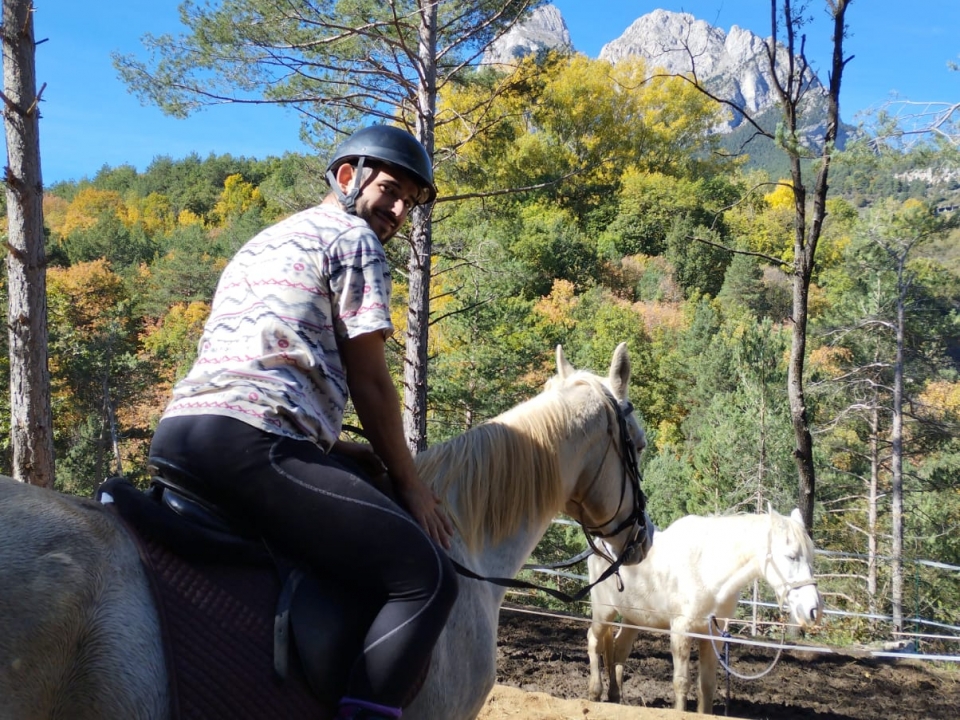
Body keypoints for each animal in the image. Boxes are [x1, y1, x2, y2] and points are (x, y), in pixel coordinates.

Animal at [586, 507, 822, 714]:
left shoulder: (713, 635)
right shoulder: (681, 630)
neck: (706, 569)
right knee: (594, 640)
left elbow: (707, 685)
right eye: (791, 556)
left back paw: (615, 697)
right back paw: (595, 693)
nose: (814, 610)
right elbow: (681, 683)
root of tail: (598, 547)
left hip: (633, 618)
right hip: (604, 613)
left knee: (619, 651)